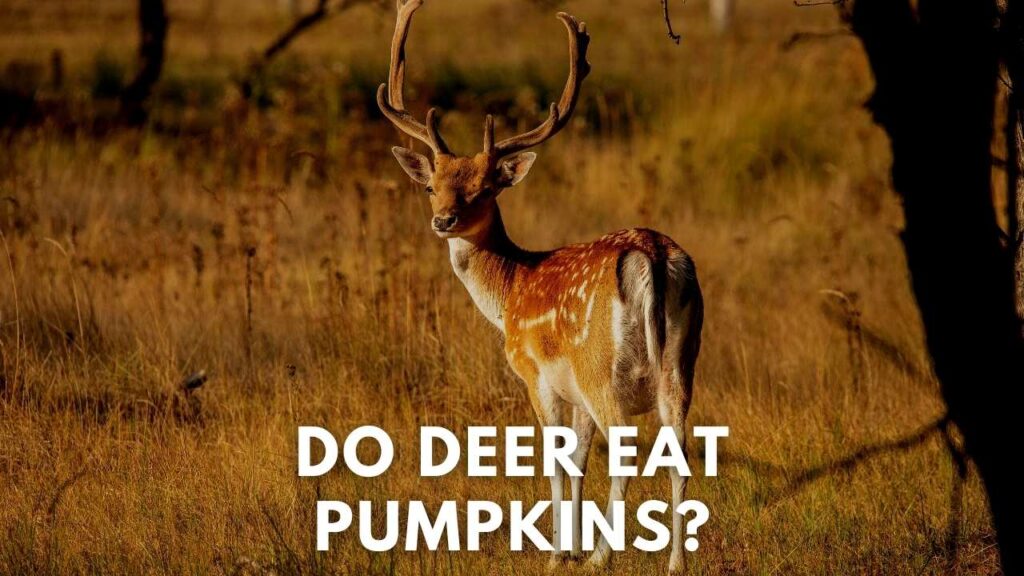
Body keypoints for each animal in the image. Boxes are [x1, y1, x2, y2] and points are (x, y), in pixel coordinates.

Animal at [376, 1, 704, 573]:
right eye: (431, 186)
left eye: (485, 189)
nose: (443, 220)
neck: (510, 290)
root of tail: (654, 255)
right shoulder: (574, 396)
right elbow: (577, 462)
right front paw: (567, 544)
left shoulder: (535, 374)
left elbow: (555, 462)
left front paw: (557, 552)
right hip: (681, 362)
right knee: (680, 454)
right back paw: (675, 563)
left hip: (600, 367)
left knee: (626, 456)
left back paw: (602, 557)